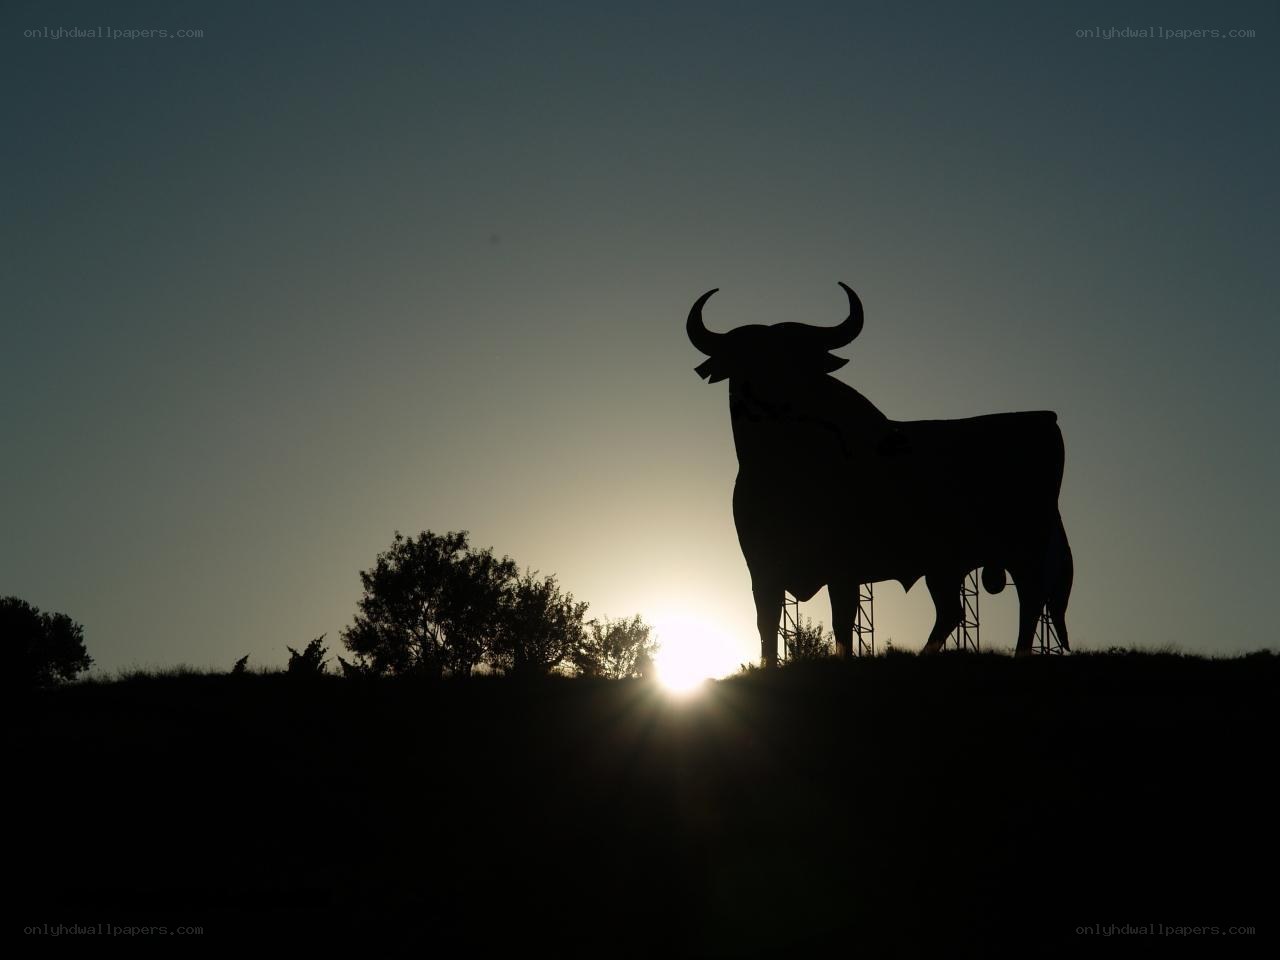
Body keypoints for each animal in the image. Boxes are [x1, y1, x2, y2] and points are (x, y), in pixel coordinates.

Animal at [686, 283, 1073, 664]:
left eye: (798, 360)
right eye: (744, 358)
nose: (770, 399)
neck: (782, 465)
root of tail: (1045, 419)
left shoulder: (844, 567)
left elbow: (842, 619)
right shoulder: (762, 568)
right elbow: (766, 622)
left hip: (1025, 546)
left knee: (1030, 598)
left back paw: (1021, 654)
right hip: (946, 565)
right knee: (953, 610)